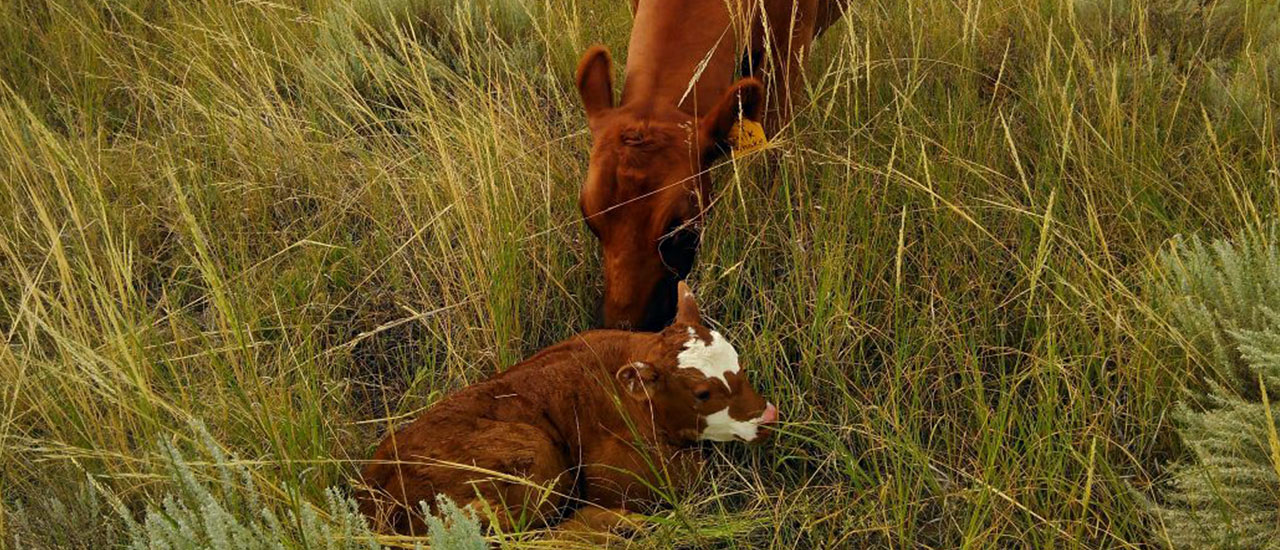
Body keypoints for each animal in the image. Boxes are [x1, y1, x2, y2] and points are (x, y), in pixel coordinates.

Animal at [360, 285, 778, 534]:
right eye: (702, 392)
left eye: (738, 361)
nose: (768, 415)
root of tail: (373, 483)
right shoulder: (619, 477)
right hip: (534, 453)